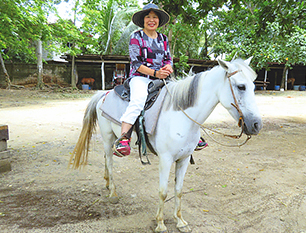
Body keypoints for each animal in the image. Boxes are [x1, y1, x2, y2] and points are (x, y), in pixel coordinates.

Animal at [70, 57, 262, 232]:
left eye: (253, 87)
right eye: (241, 86)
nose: (256, 125)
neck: (181, 118)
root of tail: (103, 95)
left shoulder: (184, 159)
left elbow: (179, 190)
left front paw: (180, 221)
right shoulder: (166, 159)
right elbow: (163, 192)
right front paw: (160, 224)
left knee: (106, 158)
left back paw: (107, 183)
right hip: (107, 136)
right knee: (109, 161)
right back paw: (112, 193)